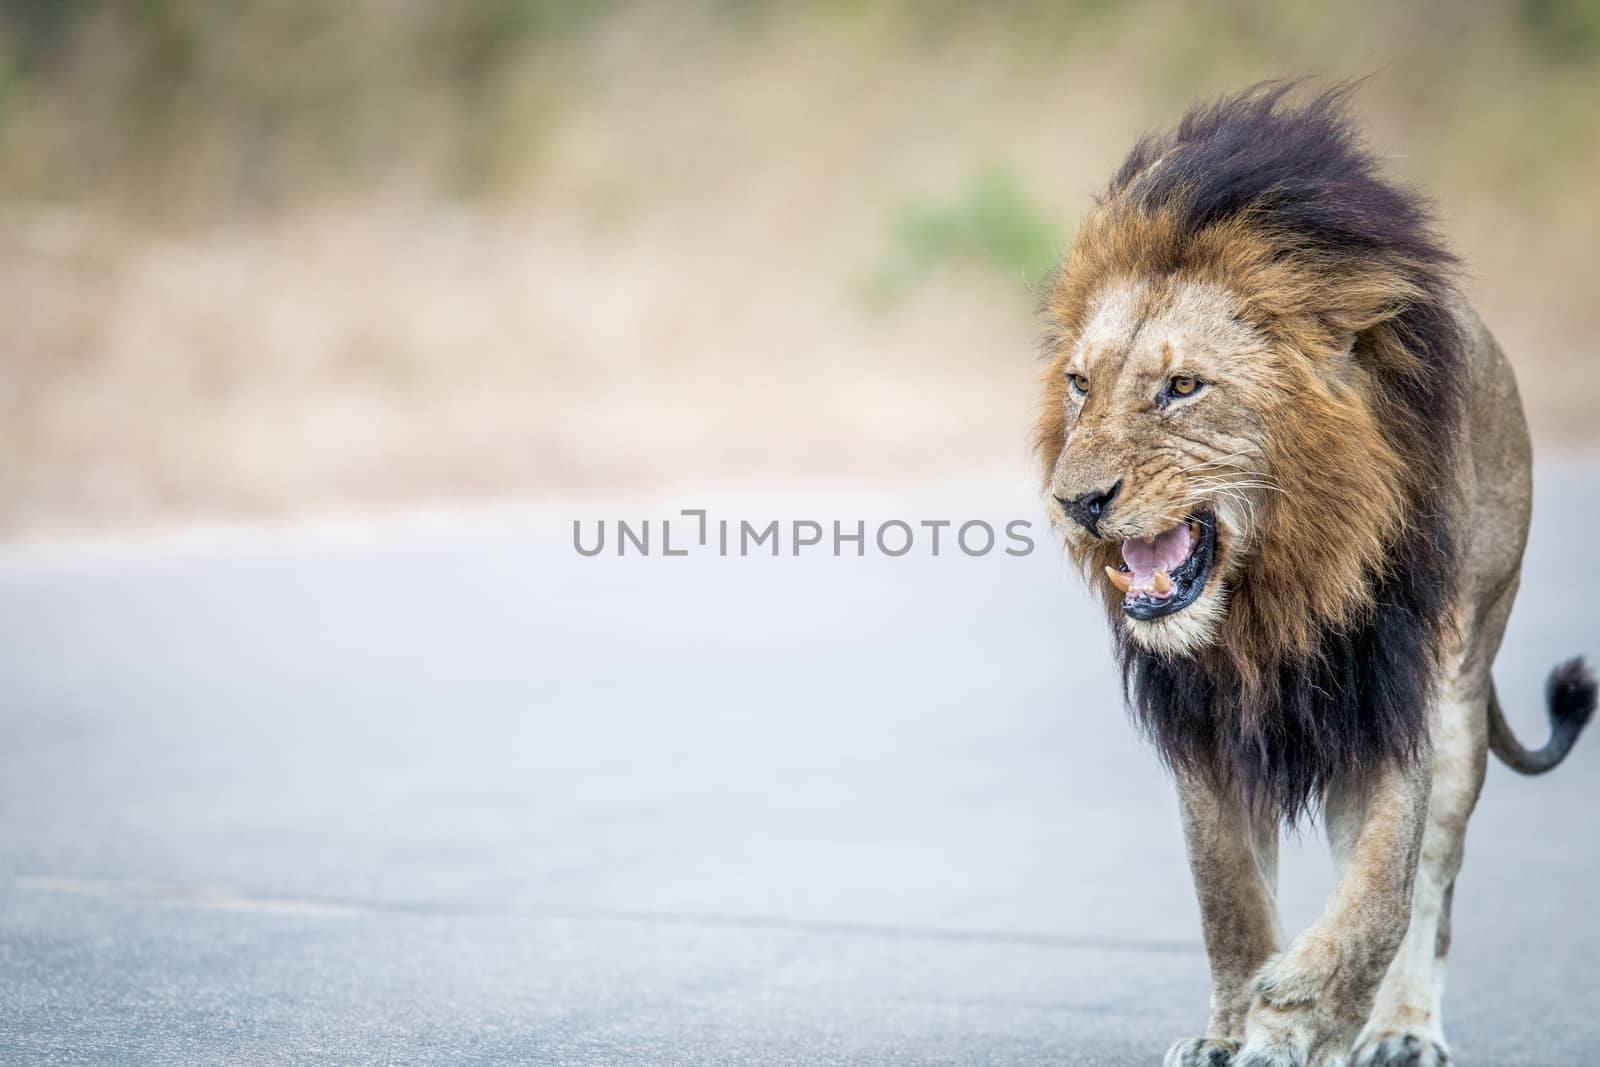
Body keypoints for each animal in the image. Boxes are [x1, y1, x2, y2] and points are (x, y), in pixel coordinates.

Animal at [1030, 85, 1593, 1067]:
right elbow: (1227, 897)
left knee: (1432, 886)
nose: (1078, 502)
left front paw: (1297, 1013)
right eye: (1079, 384)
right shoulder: (1204, 725)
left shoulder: (1392, 697)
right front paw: (1228, 1032)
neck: (1270, 593)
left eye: (1183, 387)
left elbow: (1380, 897)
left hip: (1461, 687)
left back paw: (1401, 1027)